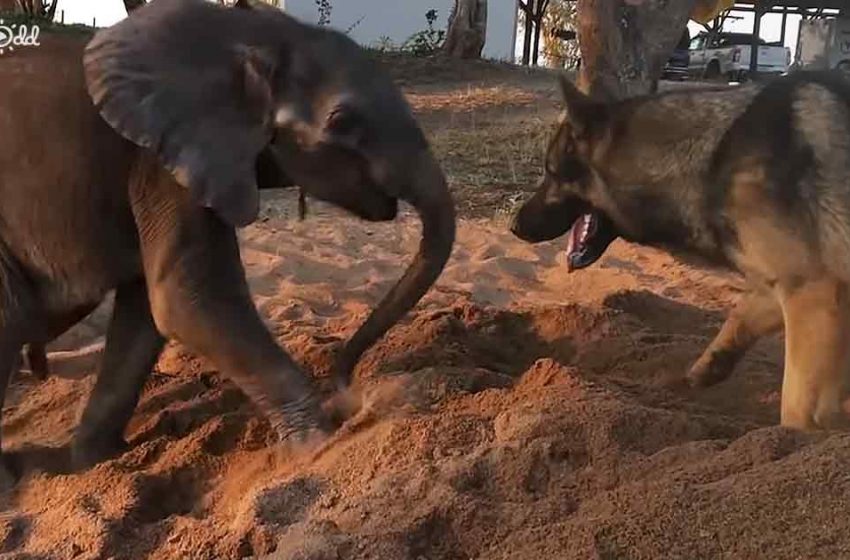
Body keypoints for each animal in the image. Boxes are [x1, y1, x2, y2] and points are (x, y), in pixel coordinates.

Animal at [0, 0, 454, 474]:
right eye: (342, 120)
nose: (347, 388)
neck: (245, 33)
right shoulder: (163, 162)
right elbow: (191, 302)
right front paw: (318, 446)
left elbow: (148, 311)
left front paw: (99, 462)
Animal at [506, 70, 848, 428]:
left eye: (551, 171)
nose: (514, 226)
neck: (711, 158)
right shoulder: (786, 288)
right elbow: (738, 320)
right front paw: (697, 375)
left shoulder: (812, 292)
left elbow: (798, 407)